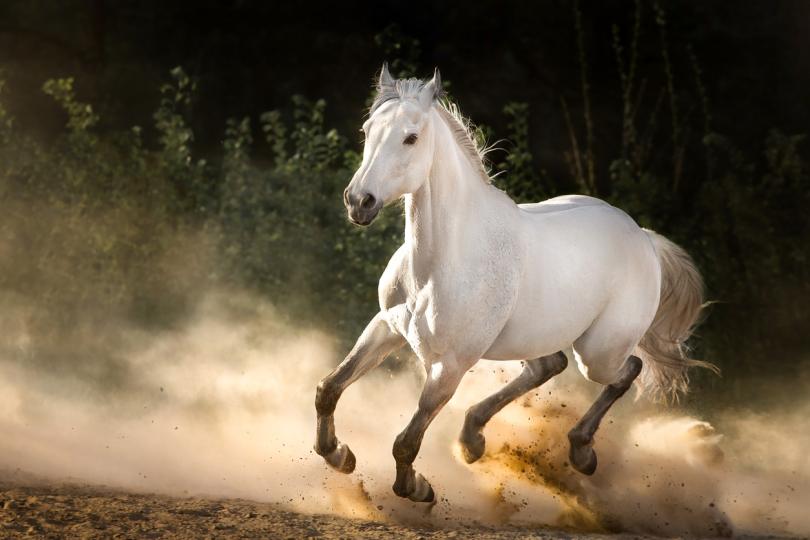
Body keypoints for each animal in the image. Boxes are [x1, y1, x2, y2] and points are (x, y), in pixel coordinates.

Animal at [312, 66, 716, 502]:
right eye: (367, 130)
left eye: (411, 138)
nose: (359, 202)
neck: (440, 263)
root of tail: (644, 237)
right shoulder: (386, 326)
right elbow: (329, 389)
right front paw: (338, 455)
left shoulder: (449, 367)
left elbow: (406, 441)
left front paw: (418, 489)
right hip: (529, 339)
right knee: (549, 365)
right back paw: (472, 439)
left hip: (597, 355)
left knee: (628, 368)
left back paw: (581, 452)